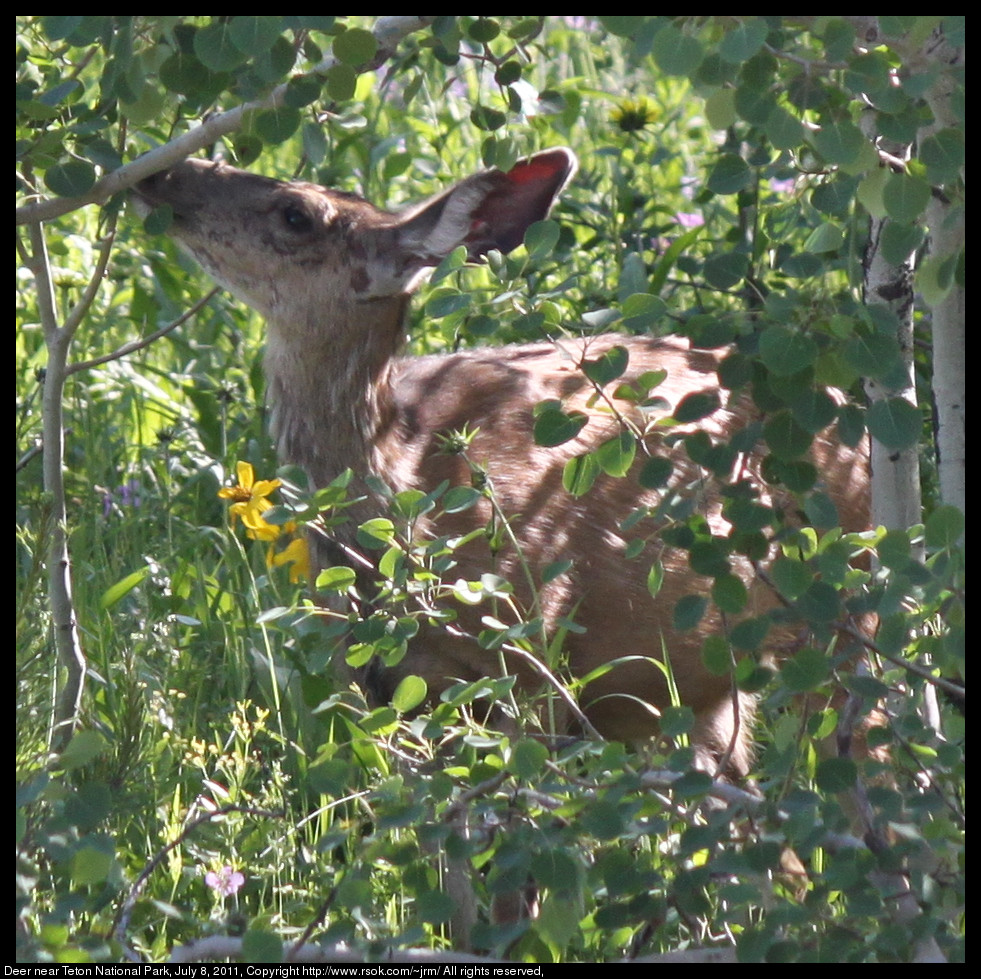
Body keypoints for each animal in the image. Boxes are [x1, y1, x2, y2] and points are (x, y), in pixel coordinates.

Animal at [132, 147, 872, 788]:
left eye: (296, 214)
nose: (162, 174)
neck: (402, 483)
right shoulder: (379, 677)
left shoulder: (533, 648)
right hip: (707, 691)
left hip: (844, 623)